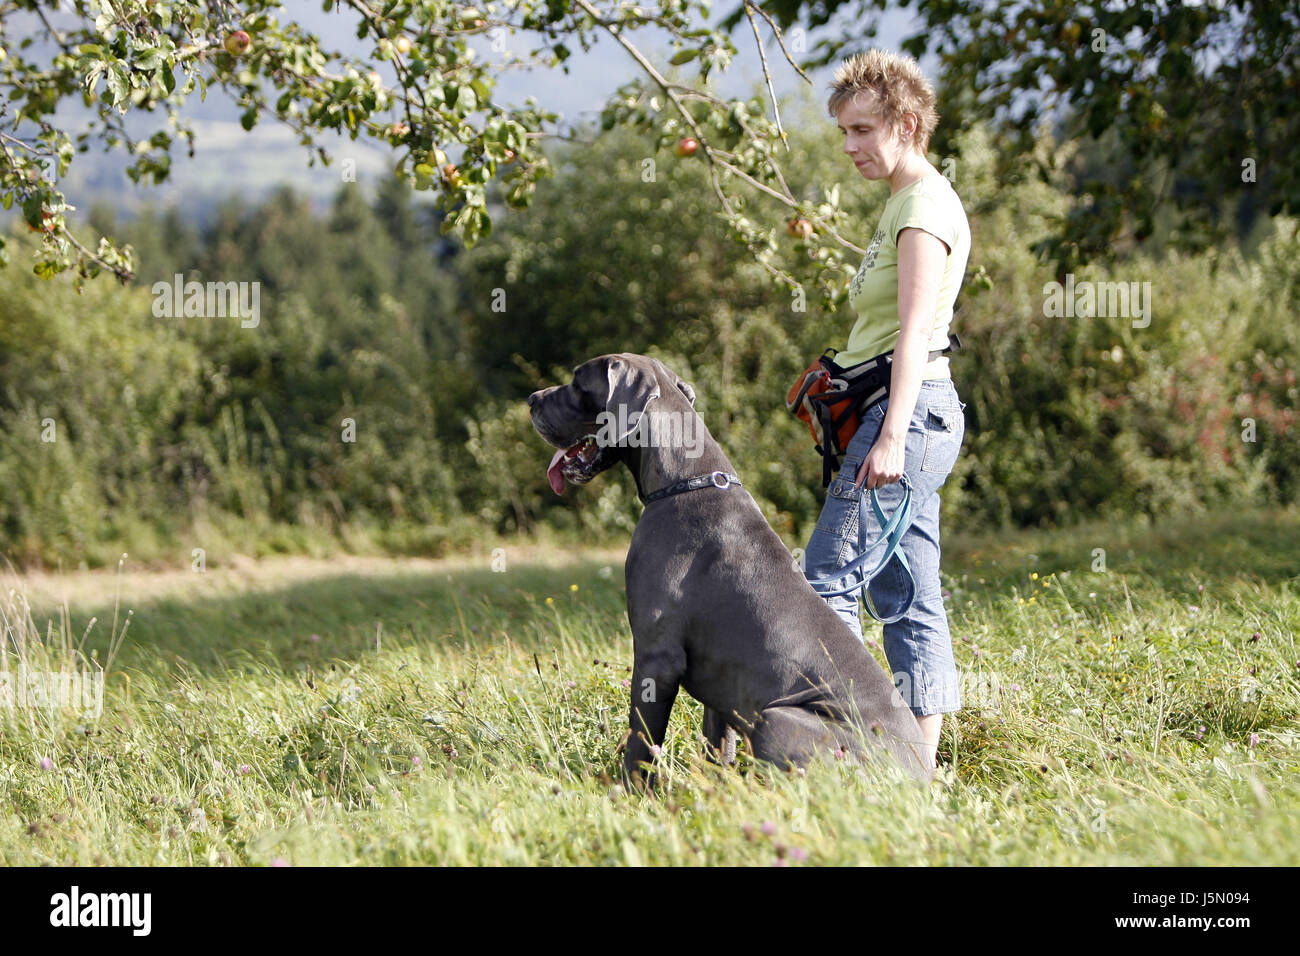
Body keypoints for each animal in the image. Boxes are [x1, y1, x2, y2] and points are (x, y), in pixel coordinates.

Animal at [527, 356, 935, 790]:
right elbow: (717, 748)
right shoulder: (723, 679)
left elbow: (641, 740)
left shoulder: (658, 656)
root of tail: (922, 783)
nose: (531, 399)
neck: (684, 482)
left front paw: (629, 792)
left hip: (778, 717)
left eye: (577, 383)